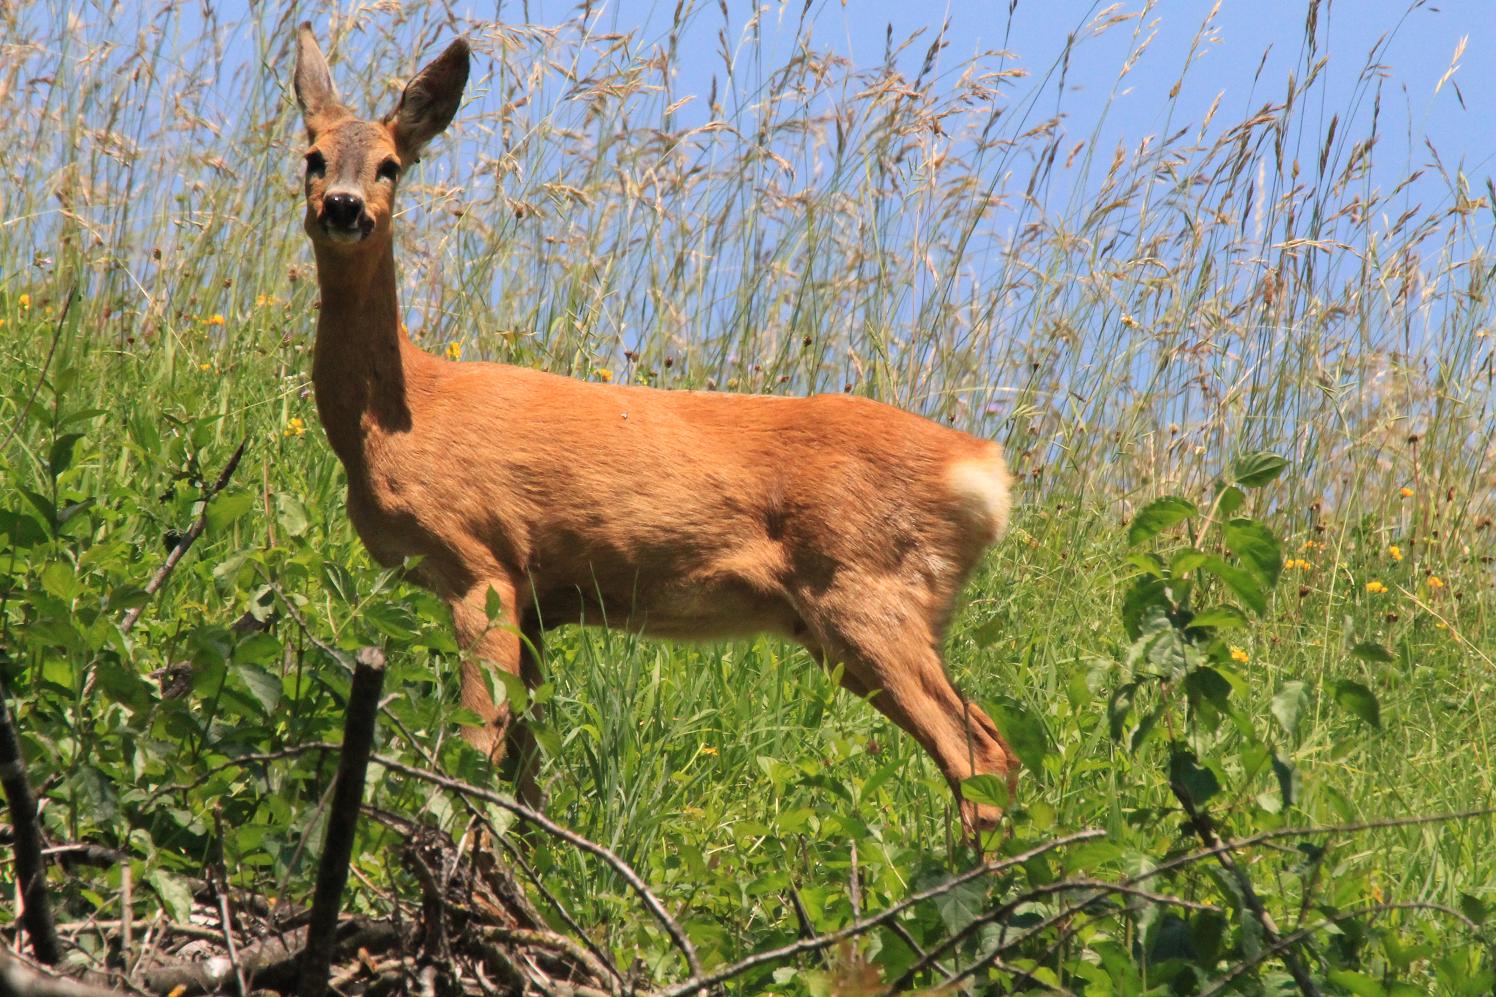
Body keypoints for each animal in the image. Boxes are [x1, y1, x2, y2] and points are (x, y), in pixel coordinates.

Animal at [288, 25, 1017, 832]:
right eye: (313, 154)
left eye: (390, 164)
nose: (345, 206)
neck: (401, 414)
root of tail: (982, 469)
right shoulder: (538, 599)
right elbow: (527, 768)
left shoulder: (480, 562)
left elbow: (476, 745)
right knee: (990, 743)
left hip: (866, 592)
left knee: (975, 756)